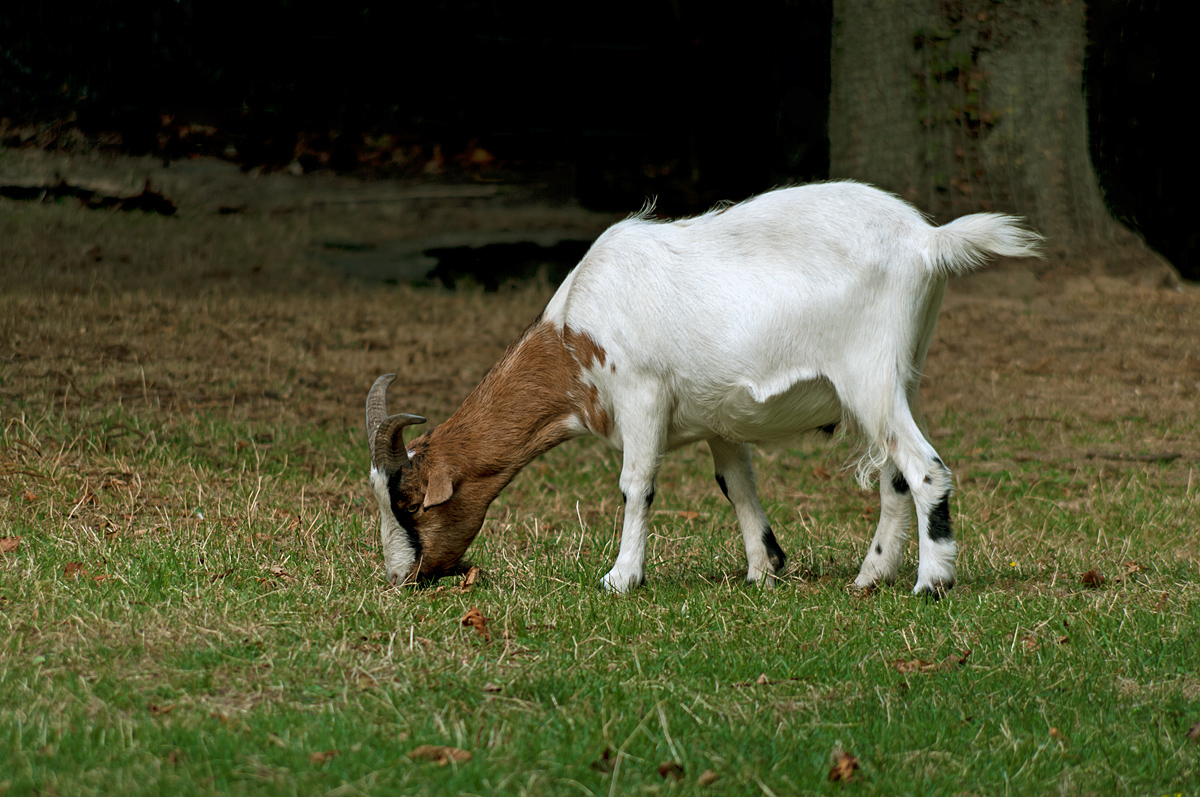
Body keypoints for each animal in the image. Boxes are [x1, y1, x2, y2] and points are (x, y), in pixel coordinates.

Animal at [364, 178, 1041, 590]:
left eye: (408, 503)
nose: (403, 577)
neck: (574, 333)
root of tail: (927, 241)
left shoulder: (640, 394)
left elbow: (636, 484)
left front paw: (621, 578)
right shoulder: (720, 420)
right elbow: (736, 486)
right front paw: (764, 570)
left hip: (867, 375)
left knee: (925, 468)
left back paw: (932, 582)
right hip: (903, 373)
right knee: (895, 474)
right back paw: (869, 577)